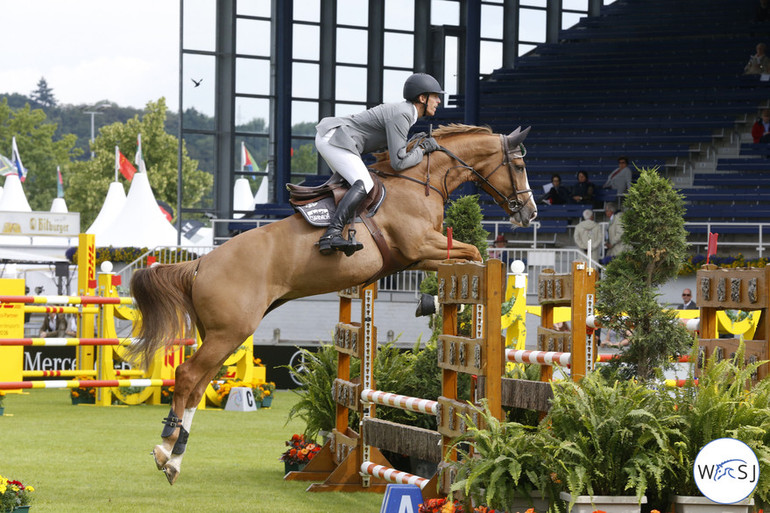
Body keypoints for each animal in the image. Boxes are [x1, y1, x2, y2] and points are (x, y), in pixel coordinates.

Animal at [127, 122, 536, 482]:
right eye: (518, 166)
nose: (529, 212)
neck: (421, 181)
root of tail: (200, 264)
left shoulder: (417, 256)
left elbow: (469, 258)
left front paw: (435, 302)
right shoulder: (421, 246)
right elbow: (473, 253)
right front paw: (433, 302)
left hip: (221, 335)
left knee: (197, 387)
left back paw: (175, 457)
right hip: (230, 332)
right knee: (187, 376)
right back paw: (166, 448)